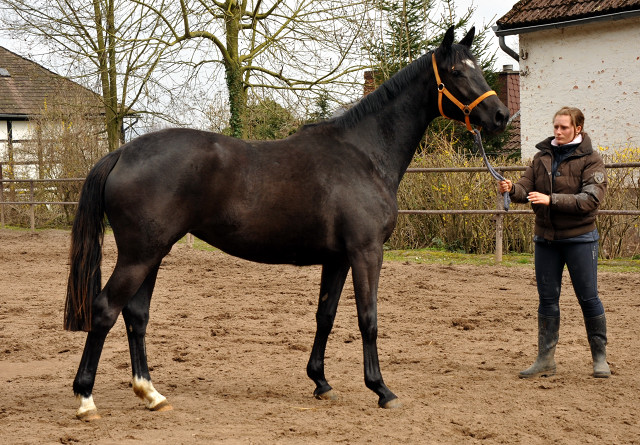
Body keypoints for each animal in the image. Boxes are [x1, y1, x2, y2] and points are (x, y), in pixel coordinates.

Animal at [63, 26, 504, 418]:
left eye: (479, 67)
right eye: (457, 72)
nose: (501, 115)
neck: (363, 155)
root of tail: (122, 153)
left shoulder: (337, 258)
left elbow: (325, 316)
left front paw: (321, 382)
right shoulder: (366, 252)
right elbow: (368, 318)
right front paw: (381, 389)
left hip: (152, 254)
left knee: (136, 315)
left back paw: (151, 394)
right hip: (139, 255)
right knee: (105, 310)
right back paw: (85, 400)